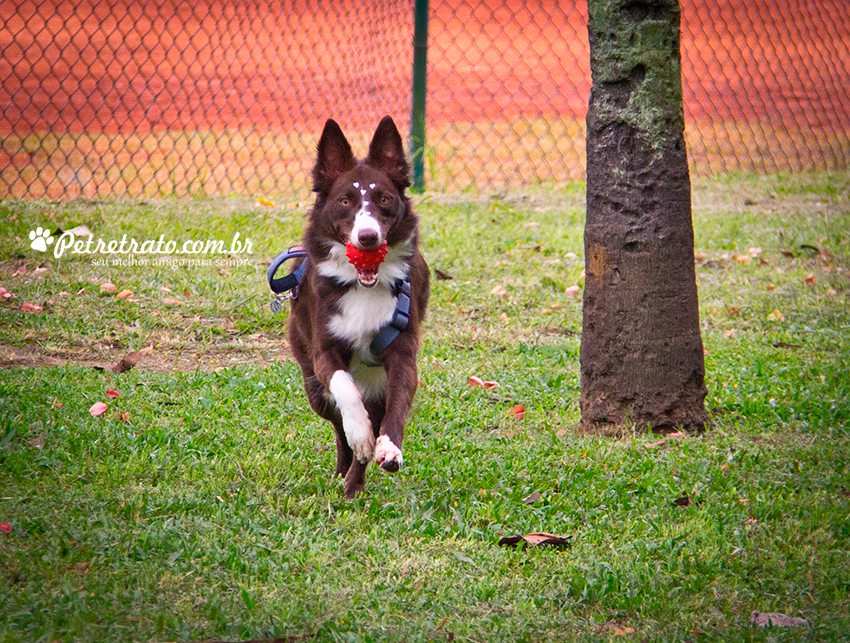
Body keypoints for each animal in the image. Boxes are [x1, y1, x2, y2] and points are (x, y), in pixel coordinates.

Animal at [286, 118, 430, 500]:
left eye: (384, 199)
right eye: (345, 200)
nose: (368, 238)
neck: (362, 284)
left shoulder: (402, 353)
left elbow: (397, 408)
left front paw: (388, 447)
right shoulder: (324, 352)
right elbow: (344, 389)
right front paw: (361, 436)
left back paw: (355, 482)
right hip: (313, 387)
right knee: (337, 424)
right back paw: (346, 472)